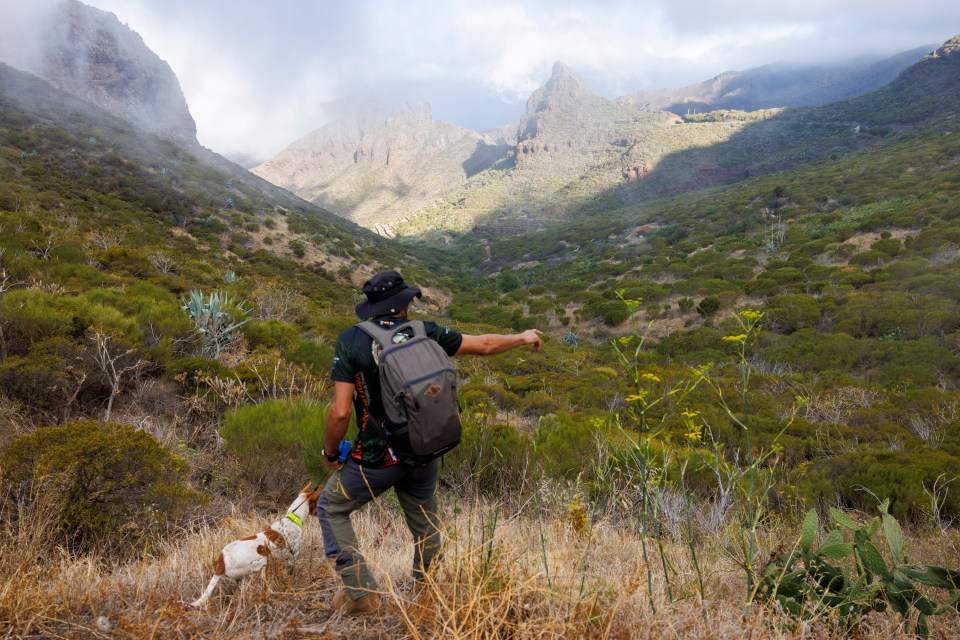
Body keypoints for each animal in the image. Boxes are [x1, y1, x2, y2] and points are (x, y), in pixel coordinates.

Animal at [189, 482, 324, 608]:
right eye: (317, 500)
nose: (320, 511)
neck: (293, 519)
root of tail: (221, 561)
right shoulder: (291, 558)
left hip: (242, 576)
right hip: (263, 561)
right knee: (264, 587)